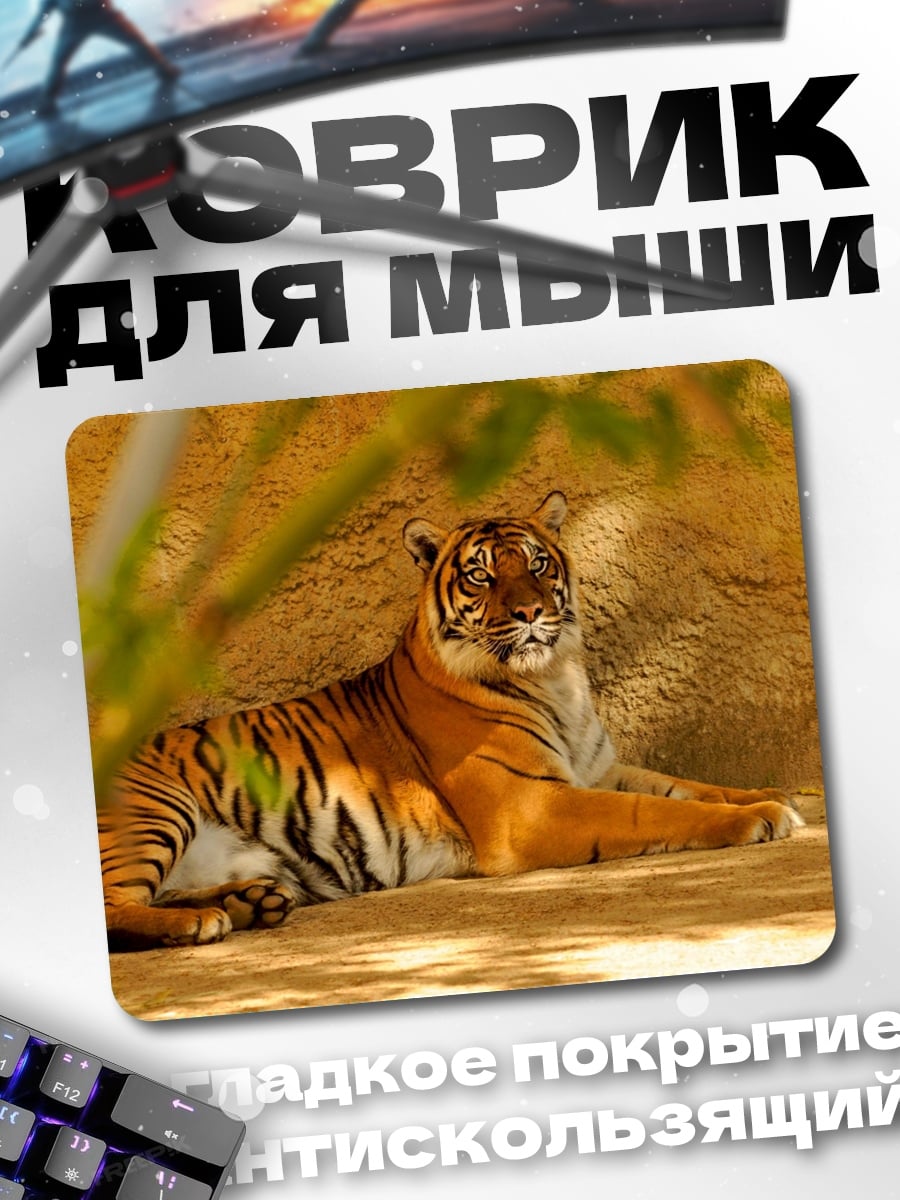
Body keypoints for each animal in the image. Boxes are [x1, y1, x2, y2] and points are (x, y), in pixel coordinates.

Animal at [100, 490, 801, 950]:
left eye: (538, 564)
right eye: (480, 576)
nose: (529, 613)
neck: (554, 678)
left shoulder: (598, 767)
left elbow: (687, 785)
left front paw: (776, 797)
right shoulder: (532, 805)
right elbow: (654, 812)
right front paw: (758, 819)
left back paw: (253, 903)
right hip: (154, 810)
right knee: (114, 906)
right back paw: (199, 924)